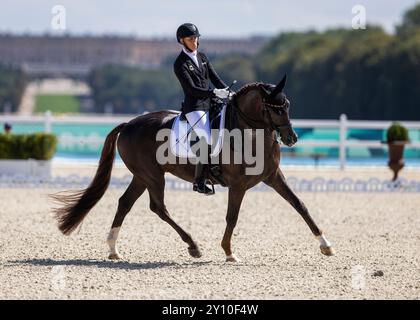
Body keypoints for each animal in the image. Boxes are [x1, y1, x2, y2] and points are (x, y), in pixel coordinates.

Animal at [51, 75, 334, 262]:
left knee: (125, 203)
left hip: (142, 176)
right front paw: (229, 252)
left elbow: (299, 205)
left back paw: (113, 250)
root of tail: (129, 123)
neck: (249, 134)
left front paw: (326, 245)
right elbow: (232, 217)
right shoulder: (238, 185)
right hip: (153, 176)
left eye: (287, 106)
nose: (292, 138)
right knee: (158, 207)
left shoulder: (273, 176)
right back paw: (193, 246)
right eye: (274, 109)